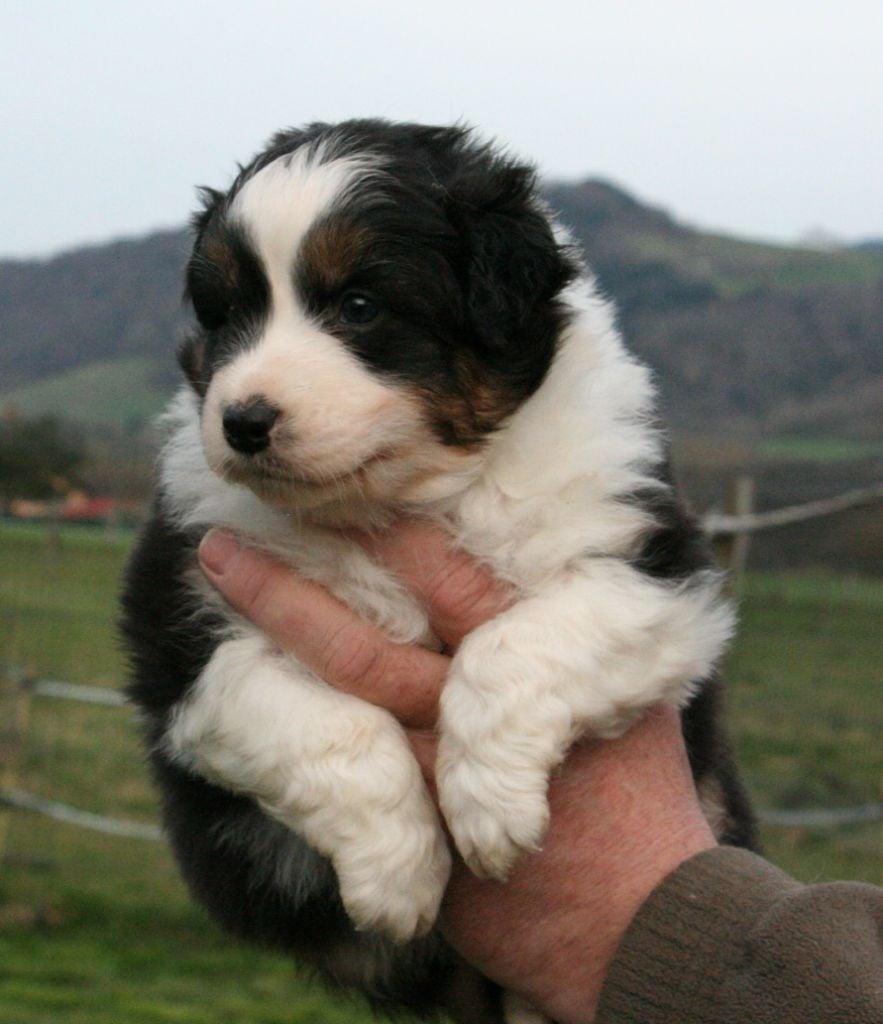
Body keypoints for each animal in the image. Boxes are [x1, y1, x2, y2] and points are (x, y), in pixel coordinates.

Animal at [122, 119, 756, 1023]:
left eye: (358, 306)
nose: (242, 421)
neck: (406, 498)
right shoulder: (182, 625)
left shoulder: (656, 572)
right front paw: (398, 869)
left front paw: (489, 806)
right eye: (230, 314)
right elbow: (325, 725)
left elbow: (512, 645)